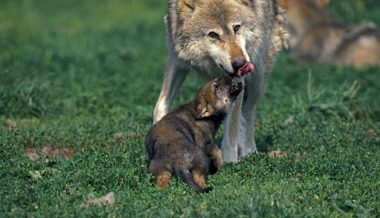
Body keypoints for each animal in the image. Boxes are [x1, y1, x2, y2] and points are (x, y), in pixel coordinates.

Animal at [153, 0, 286, 162]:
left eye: (236, 28)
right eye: (213, 34)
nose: (240, 64)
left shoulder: (238, 79)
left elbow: (230, 129)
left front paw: (229, 162)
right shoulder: (177, 60)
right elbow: (161, 106)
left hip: (258, 78)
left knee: (248, 112)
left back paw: (250, 151)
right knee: (242, 119)